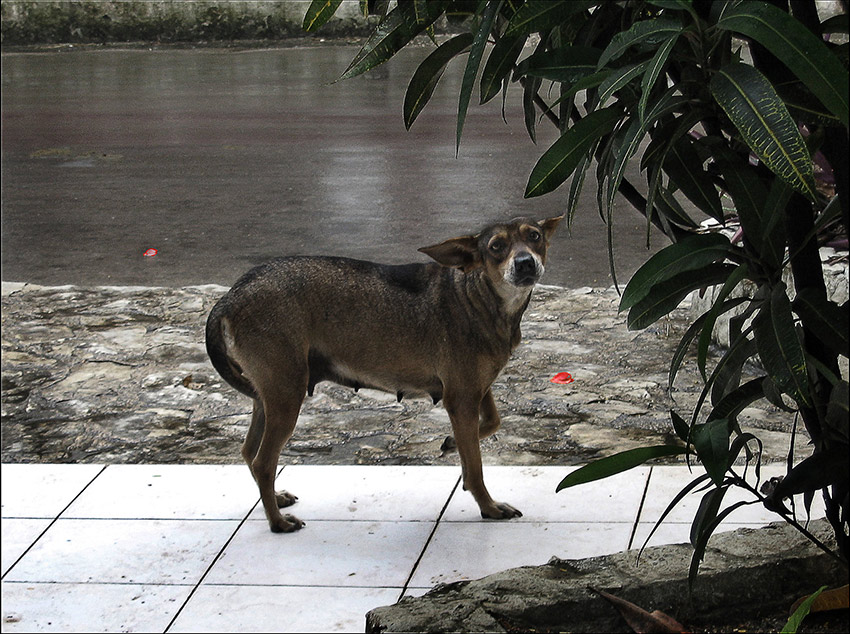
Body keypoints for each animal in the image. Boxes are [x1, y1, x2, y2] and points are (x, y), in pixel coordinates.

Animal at [204, 215, 564, 532]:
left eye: (534, 236)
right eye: (496, 246)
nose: (525, 263)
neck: (479, 296)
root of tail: (231, 296)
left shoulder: (477, 387)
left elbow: (491, 423)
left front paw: (451, 444)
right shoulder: (461, 398)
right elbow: (475, 466)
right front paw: (488, 506)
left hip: (269, 394)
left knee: (249, 451)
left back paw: (274, 500)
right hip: (286, 395)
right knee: (263, 461)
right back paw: (277, 522)